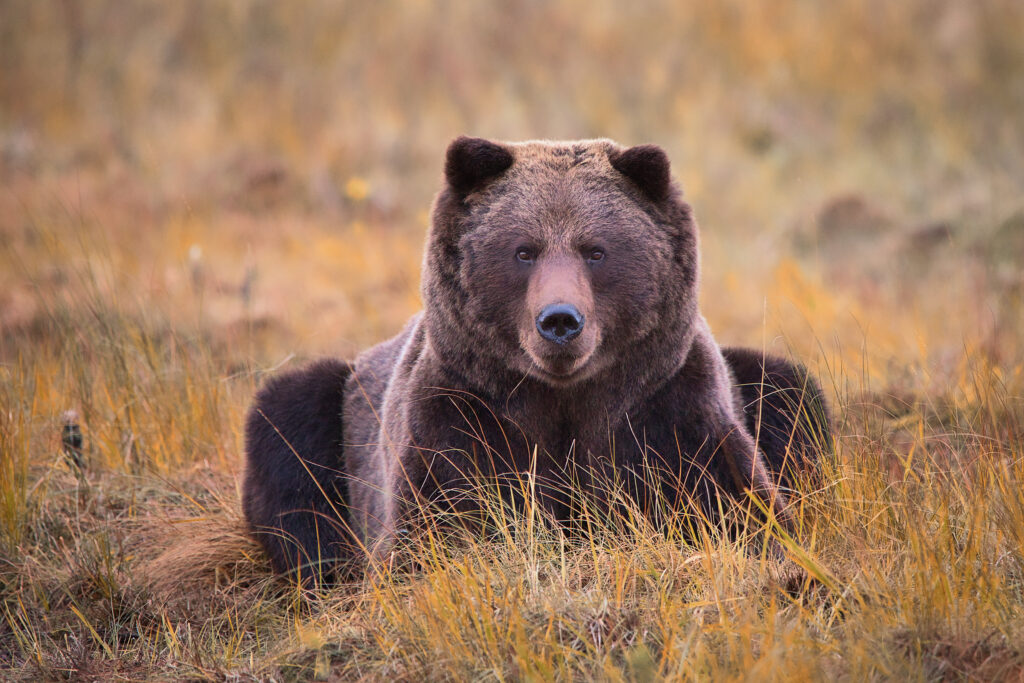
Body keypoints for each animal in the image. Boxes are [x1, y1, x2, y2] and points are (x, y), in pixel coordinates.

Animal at [242, 137, 834, 582]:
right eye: (524, 250)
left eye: (596, 250)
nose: (560, 321)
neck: (563, 397)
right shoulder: (463, 417)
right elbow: (438, 529)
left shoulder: (668, 407)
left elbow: (738, 508)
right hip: (342, 410)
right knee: (289, 430)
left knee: (792, 392)